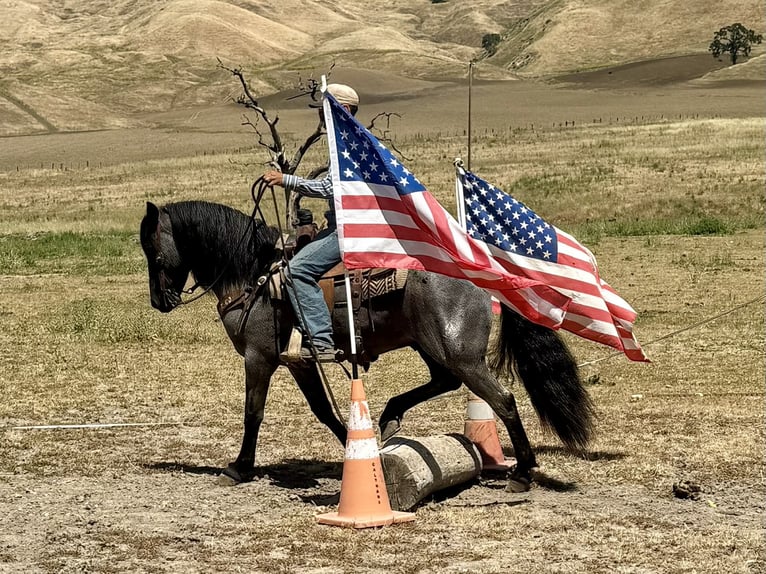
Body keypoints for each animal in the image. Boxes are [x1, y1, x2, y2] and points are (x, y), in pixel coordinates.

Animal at [139, 199, 594, 491]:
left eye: (153, 252)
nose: (159, 301)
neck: (256, 275)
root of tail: (479, 270)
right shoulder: (300, 362)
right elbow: (323, 411)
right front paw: (357, 450)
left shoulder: (260, 358)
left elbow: (253, 413)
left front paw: (239, 467)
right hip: (431, 346)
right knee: (444, 382)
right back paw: (391, 416)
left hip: (459, 352)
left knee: (503, 400)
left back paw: (522, 472)